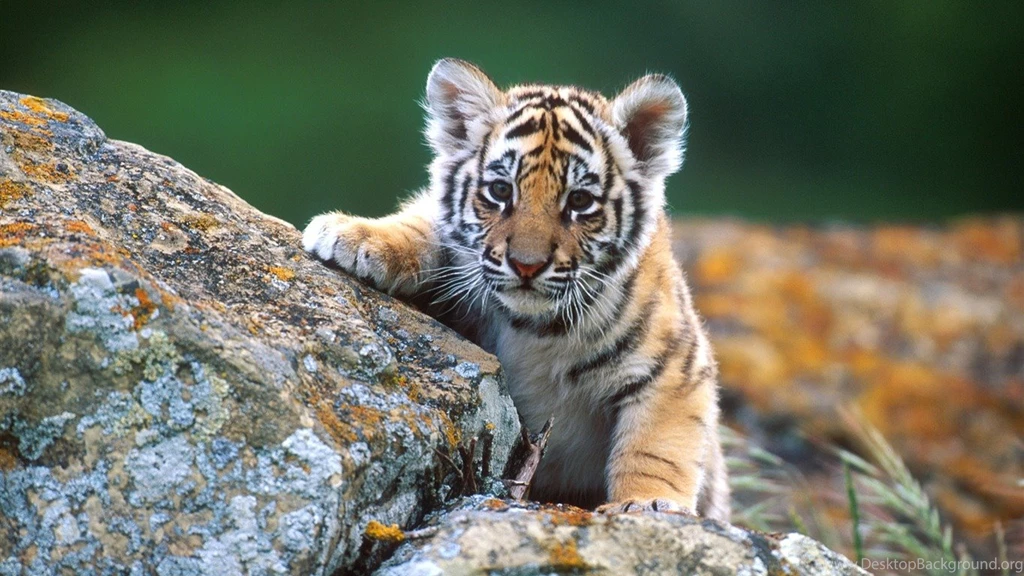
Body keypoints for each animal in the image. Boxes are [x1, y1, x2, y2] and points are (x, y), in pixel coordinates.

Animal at [303, 58, 729, 521]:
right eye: (500, 190)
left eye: (579, 201)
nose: (527, 264)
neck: (534, 329)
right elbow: (424, 223)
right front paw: (354, 235)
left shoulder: (675, 368)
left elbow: (656, 448)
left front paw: (648, 504)